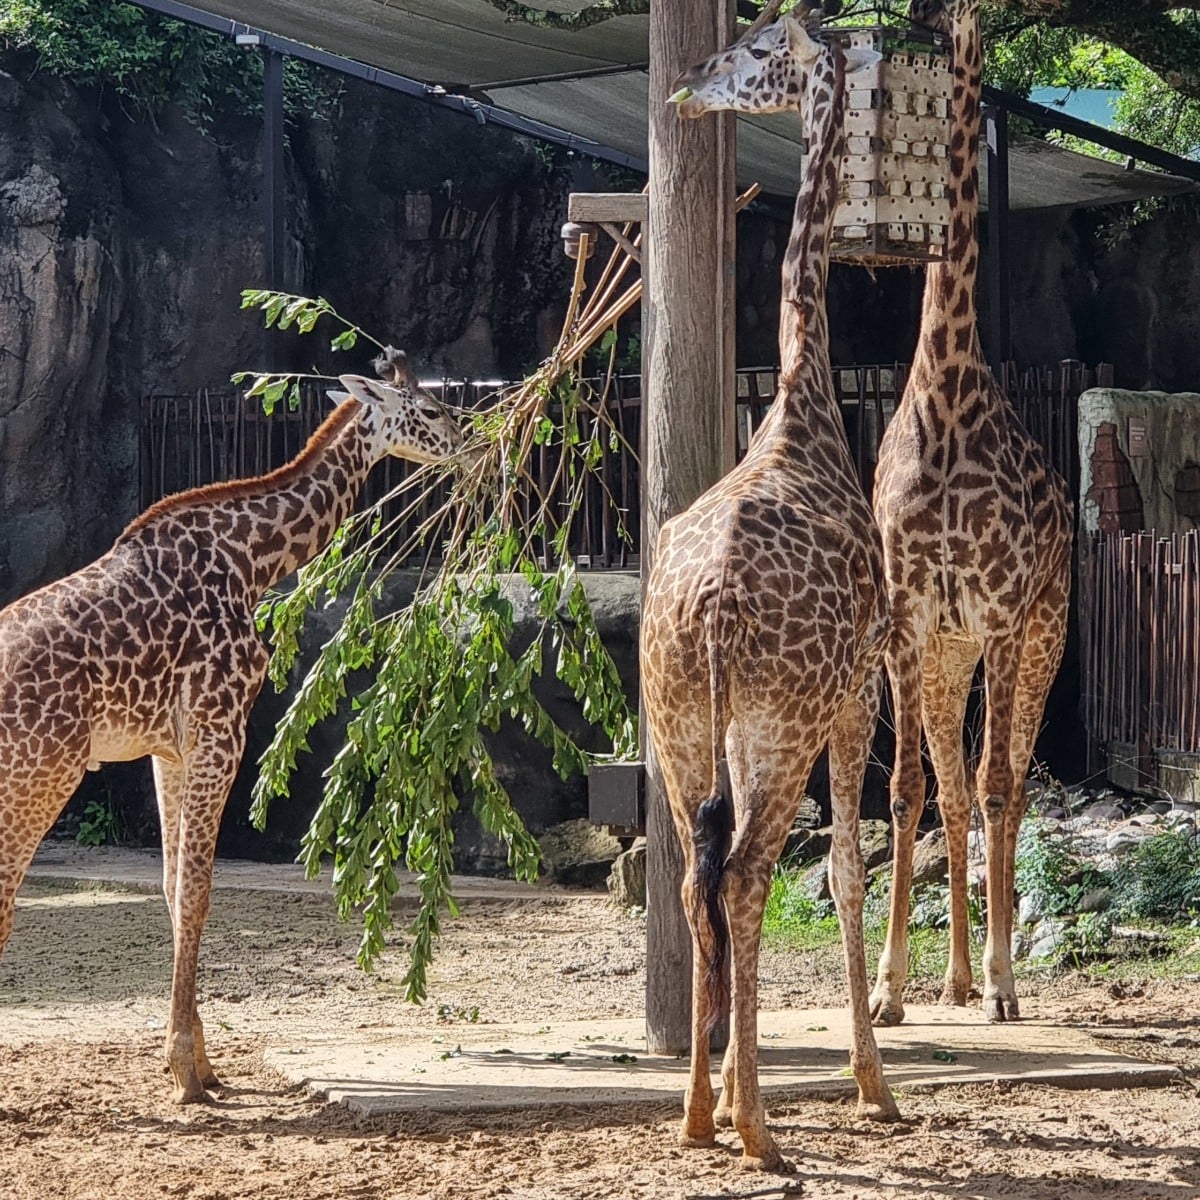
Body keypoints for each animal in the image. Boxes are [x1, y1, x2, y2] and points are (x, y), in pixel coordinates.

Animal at [0, 360, 464, 1102]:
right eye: (428, 409)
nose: (468, 443)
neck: (252, 560)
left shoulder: (167, 747)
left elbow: (172, 889)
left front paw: (200, 1063)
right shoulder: (222, 726)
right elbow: (197, 892)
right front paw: (186, 1073)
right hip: (44, 773)